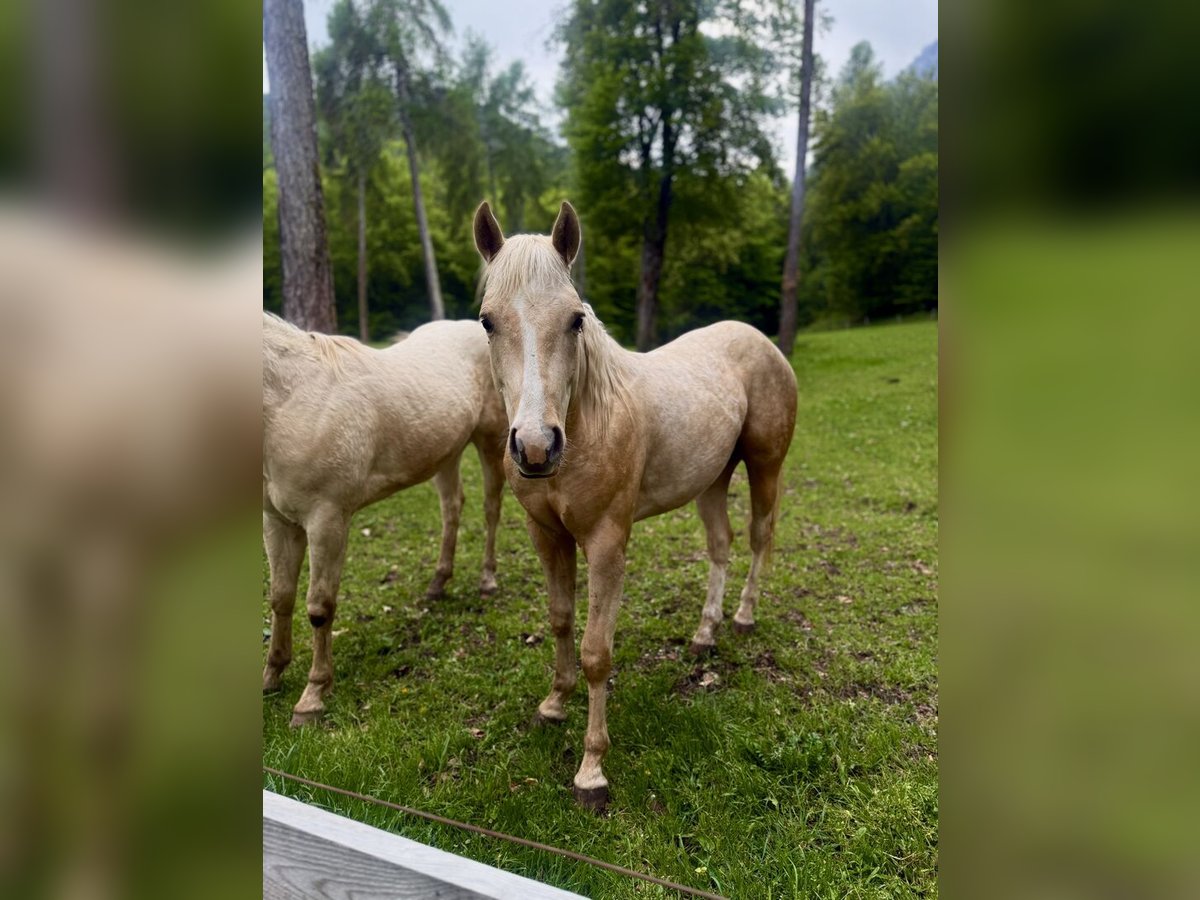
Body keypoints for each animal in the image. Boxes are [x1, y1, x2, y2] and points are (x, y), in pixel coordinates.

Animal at [262, 312, 508, 725]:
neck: (293, 400)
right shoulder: (278, 523)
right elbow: (281, 598)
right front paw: (271, 675)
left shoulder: (327, 521)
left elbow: (319, 607)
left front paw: (312, 696)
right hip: (446, 452)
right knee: (452, 508)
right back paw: (438, 583)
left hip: (491, 440)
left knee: (491, 508)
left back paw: (487, 580)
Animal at [472, 201, 798, 808]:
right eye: (487, 321)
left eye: (575, 319)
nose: (535, 447)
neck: (588, 420)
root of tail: (759, 340)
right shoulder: (546, 534)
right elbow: (560, 621)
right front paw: (554, 703)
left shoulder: (605, 543)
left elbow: (597, 651)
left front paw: (591, 770)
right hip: (712, 480)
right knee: (720, 547)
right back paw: (704, 634)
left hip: (765, 467)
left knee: (760, 538)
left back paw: (743, 617)